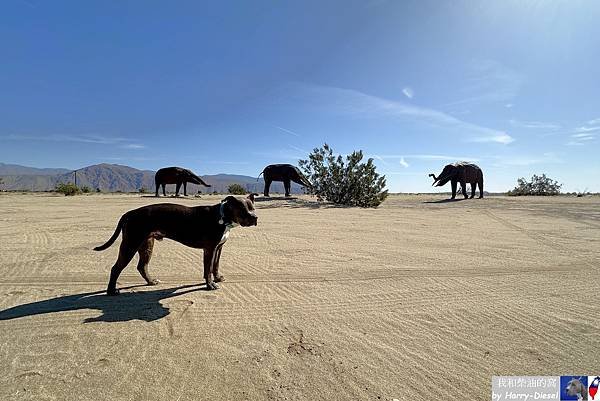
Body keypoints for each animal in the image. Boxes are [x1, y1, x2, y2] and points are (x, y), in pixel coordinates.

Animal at [94, 194, 258, 294]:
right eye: (242, 209)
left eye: (252, 208)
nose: (255, 217)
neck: (222, 216)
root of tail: (129, 213)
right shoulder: (210, 249)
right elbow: (208, 269)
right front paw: (210, 284)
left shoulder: (218, 248)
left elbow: (215, 266)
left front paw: (217, 278)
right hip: (130, 245)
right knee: (116, 268)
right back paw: (111, 291)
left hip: (146, 245)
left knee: (142, 266)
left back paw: (151, 281)